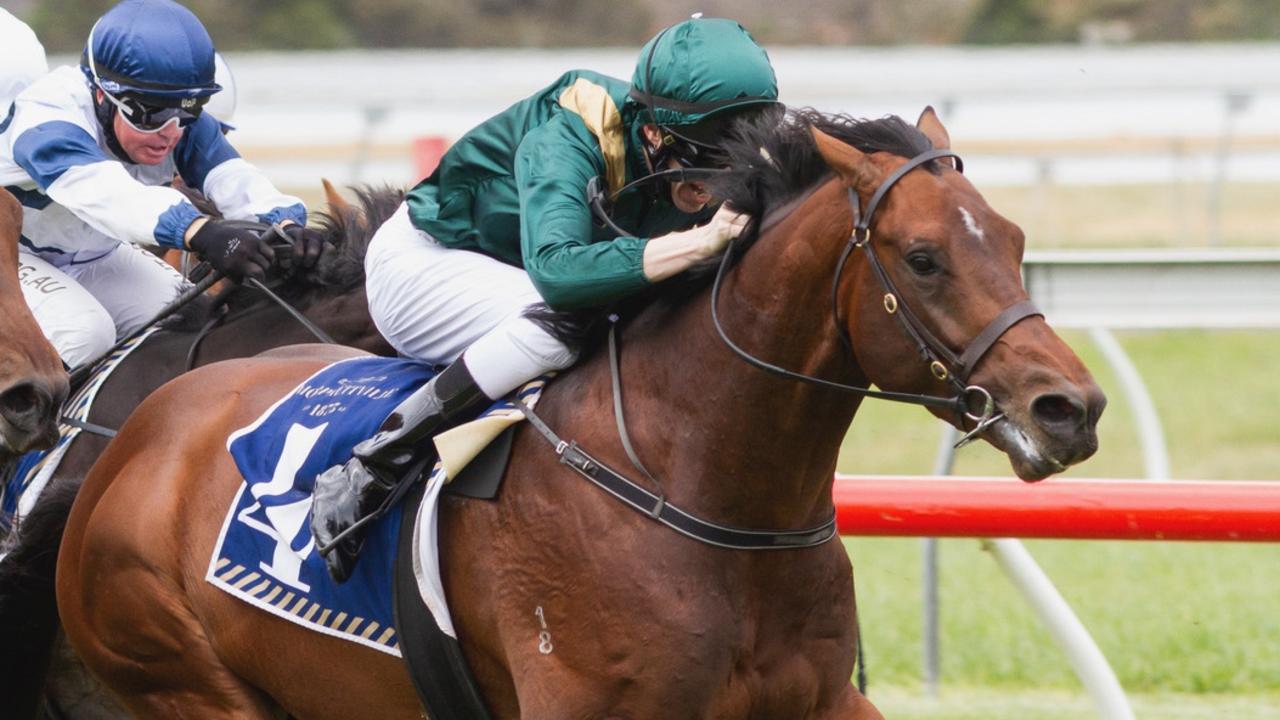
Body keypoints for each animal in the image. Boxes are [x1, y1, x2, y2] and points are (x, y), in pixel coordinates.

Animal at [55, 109, 1105, 712]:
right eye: (924, 257)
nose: (1071, 407)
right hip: (185, 680)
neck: (705, 490)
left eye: (1012, 239)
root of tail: (134, 432)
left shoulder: (820, 705)